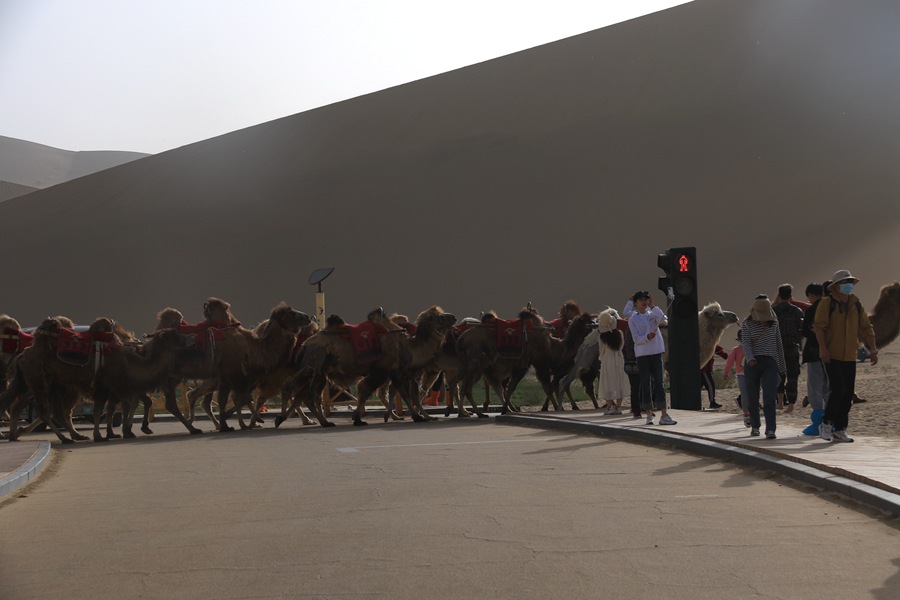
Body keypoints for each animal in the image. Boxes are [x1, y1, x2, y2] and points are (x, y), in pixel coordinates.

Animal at [280, 308, 458, 428]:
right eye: (441, 317)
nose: (454, 317)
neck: (407, 347)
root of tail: (304, 345)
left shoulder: (396, 373)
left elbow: (402, 394)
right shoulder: (386, 371)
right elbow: (398, 394)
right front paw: (417, 417)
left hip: (318, 372)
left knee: (303, 393)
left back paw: (292, 419)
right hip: (316, 367)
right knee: (308, 394)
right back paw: (322, 422)